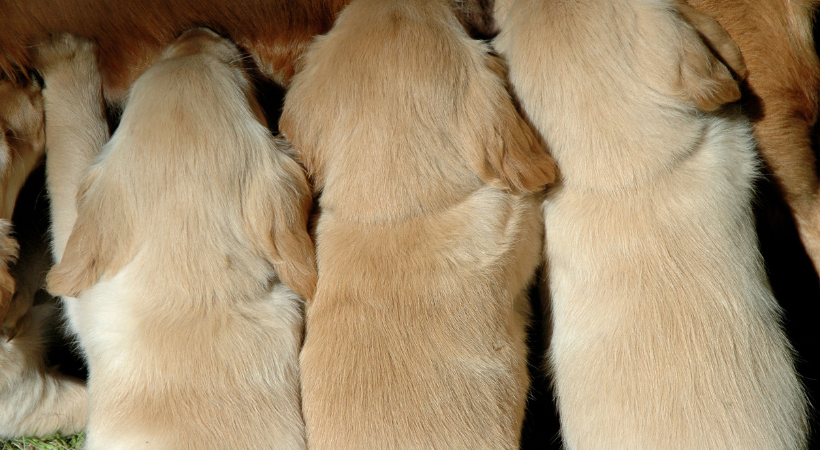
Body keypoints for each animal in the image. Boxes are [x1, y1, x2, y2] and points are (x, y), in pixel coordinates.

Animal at [36, 30, 314, 450]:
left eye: (244, 84)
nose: (196, 31)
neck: (194, 281)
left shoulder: (87, 301)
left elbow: (72, 150)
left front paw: (66, 56)